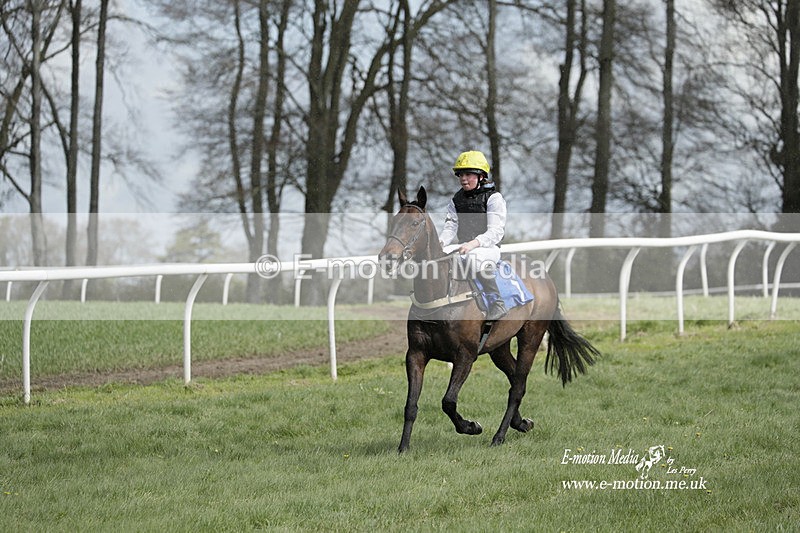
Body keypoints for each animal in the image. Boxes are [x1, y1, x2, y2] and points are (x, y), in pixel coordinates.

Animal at [379, 186, 599, 453]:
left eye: (414, 223)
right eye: (394, 222)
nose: (387, 258)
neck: (442, 291)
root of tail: (546, 279)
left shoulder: (465, 355)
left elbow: (448, 401)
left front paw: (471, 426)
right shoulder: (416, 354)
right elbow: (410, 404)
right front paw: (403, 448)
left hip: (531, 336)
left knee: (517, 385)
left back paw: (499, 436)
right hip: (498, 345)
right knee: (515, 377)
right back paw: (521, 423)